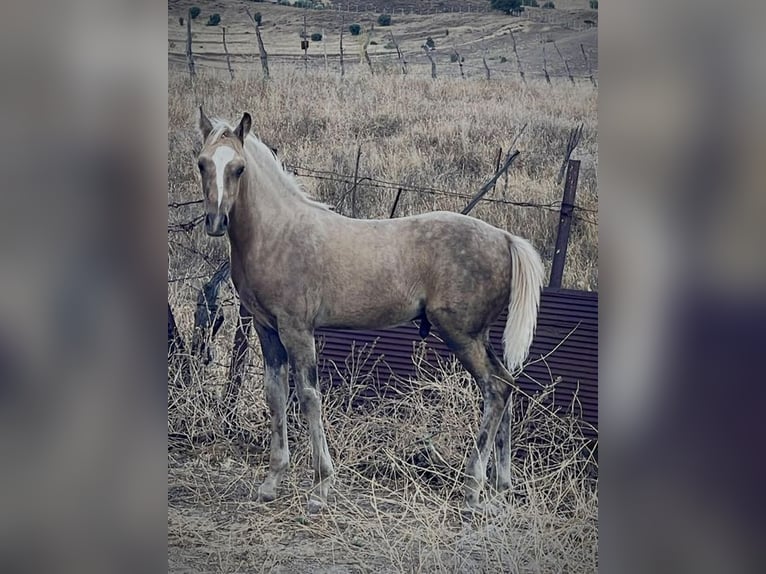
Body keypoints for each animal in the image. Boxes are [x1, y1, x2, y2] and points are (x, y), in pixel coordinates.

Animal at [196, 110, 544, 516]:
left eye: (238, 168)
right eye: (202, 163)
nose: (216, 222)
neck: (278, 234)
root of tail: (505, 238)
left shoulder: (298, 329)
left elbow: (309, 396)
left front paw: (320, 488)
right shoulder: (267, 329)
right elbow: (275, 396)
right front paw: (271, 482)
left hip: (461, 335)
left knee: (495, 389)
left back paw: (473, 488)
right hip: (478, 336)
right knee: (507, 384)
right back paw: (501, 487)